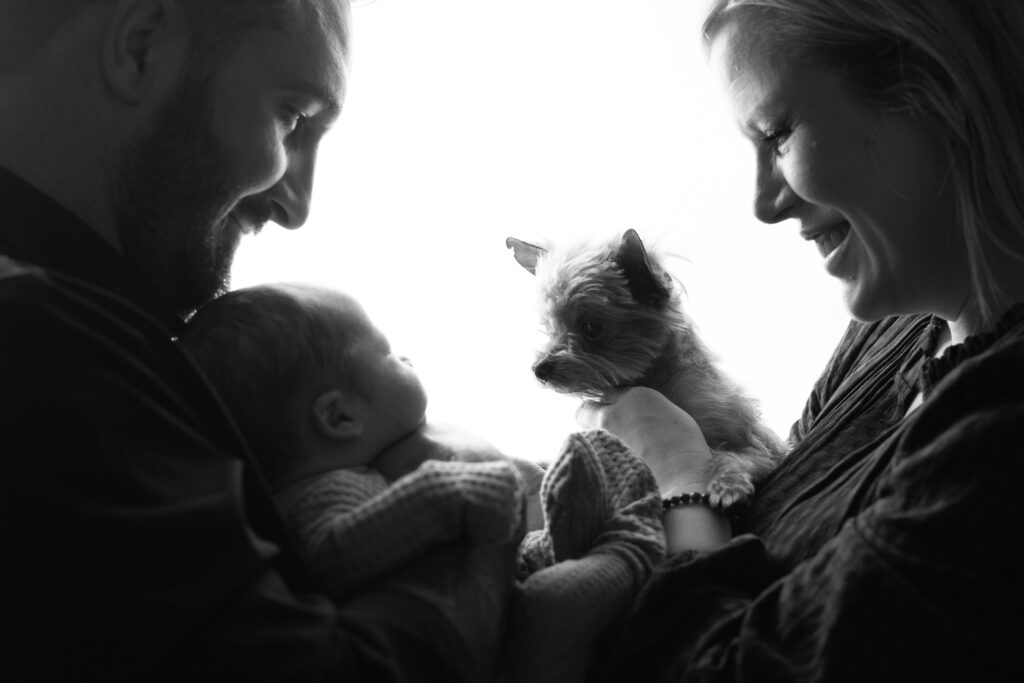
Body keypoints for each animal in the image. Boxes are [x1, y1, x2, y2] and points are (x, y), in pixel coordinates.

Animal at [507, 229, 786, 507]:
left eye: (591, 327)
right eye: (550, 328)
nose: (539, 369)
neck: (654, 381)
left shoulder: (756, 449)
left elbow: (728, 457)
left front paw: (728, 484)